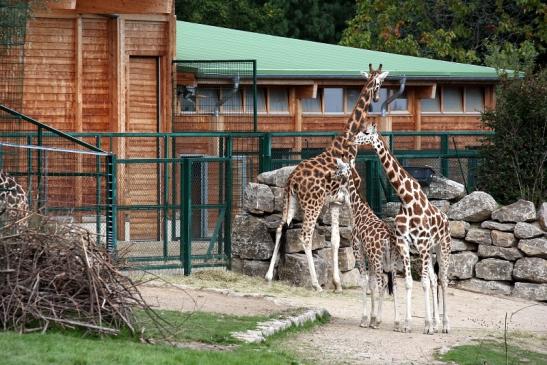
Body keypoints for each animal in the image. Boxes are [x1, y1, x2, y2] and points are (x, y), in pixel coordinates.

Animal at [266, 64, 390, 292]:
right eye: (379, 83)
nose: (377, 98)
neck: (348, 145)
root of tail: (292, 179)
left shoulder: (335, 202)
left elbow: (335, 240)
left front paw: (338, 283)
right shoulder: (350, 199)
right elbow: (351, 237)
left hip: (290, 200)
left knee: (280, 227)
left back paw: (269, 275)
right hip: (312, 204)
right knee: (305, 236)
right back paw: (316, 284)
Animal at [344, 168, 400, 330]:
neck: (358, 210)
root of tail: (389, 239)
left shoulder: (358, 250)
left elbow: (364, 281)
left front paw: (365, 319)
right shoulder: (369, 256)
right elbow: (371, 283)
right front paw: (371, 317)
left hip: (377, 258)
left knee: (383, 284)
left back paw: (378, 322)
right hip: (391, 261)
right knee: (393, 284)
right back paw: (397, 323)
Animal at [362, 123, 452, 334]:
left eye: (366, 132)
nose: (353, 139)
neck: (407, 199)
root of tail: (446, 220)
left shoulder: (423, 245)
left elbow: (424, 283)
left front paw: (427, 326)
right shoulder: (405, 245)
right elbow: (410, 283)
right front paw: (408, 324)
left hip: (442, 247)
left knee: (443, 280)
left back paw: (444, 325)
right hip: (431, 251)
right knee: (435, 279)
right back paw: (436, 322)